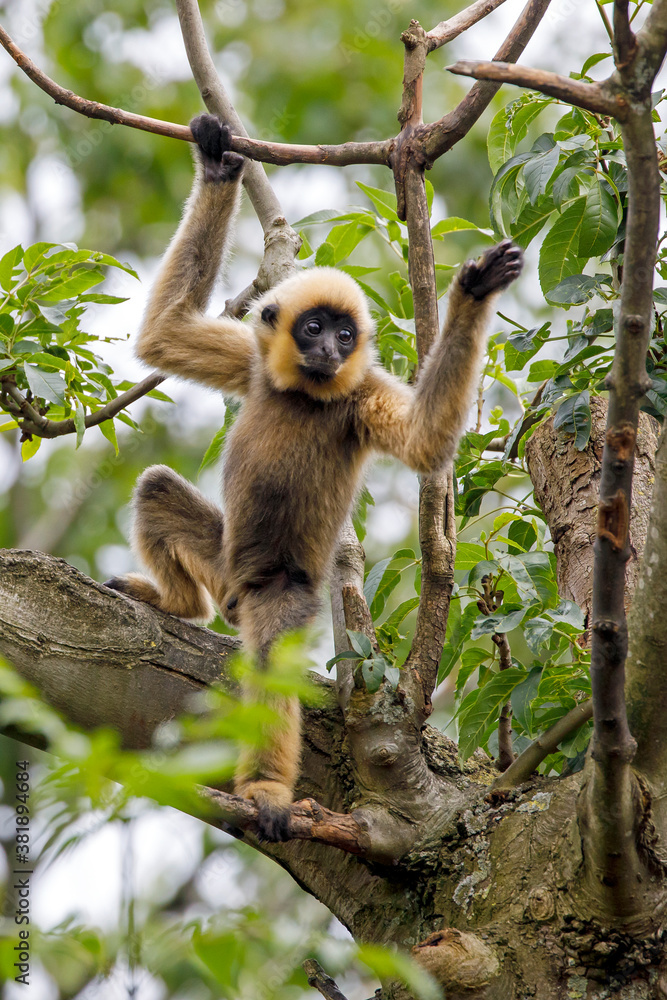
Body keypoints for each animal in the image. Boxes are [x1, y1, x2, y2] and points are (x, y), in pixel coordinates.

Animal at [105, 114, 523, 841]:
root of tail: (236, 593)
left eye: (344, 335)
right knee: (156, 486)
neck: (307, 395)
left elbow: (425, 444)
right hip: (226, 562)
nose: (329, 349)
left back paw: (267, 790)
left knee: (270, 656)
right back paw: (182, 605)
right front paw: (218, 162)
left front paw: (475, 288)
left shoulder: (360, 397)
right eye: (314, 328)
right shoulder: (252, 363)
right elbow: (162, 335)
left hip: (280, 585)